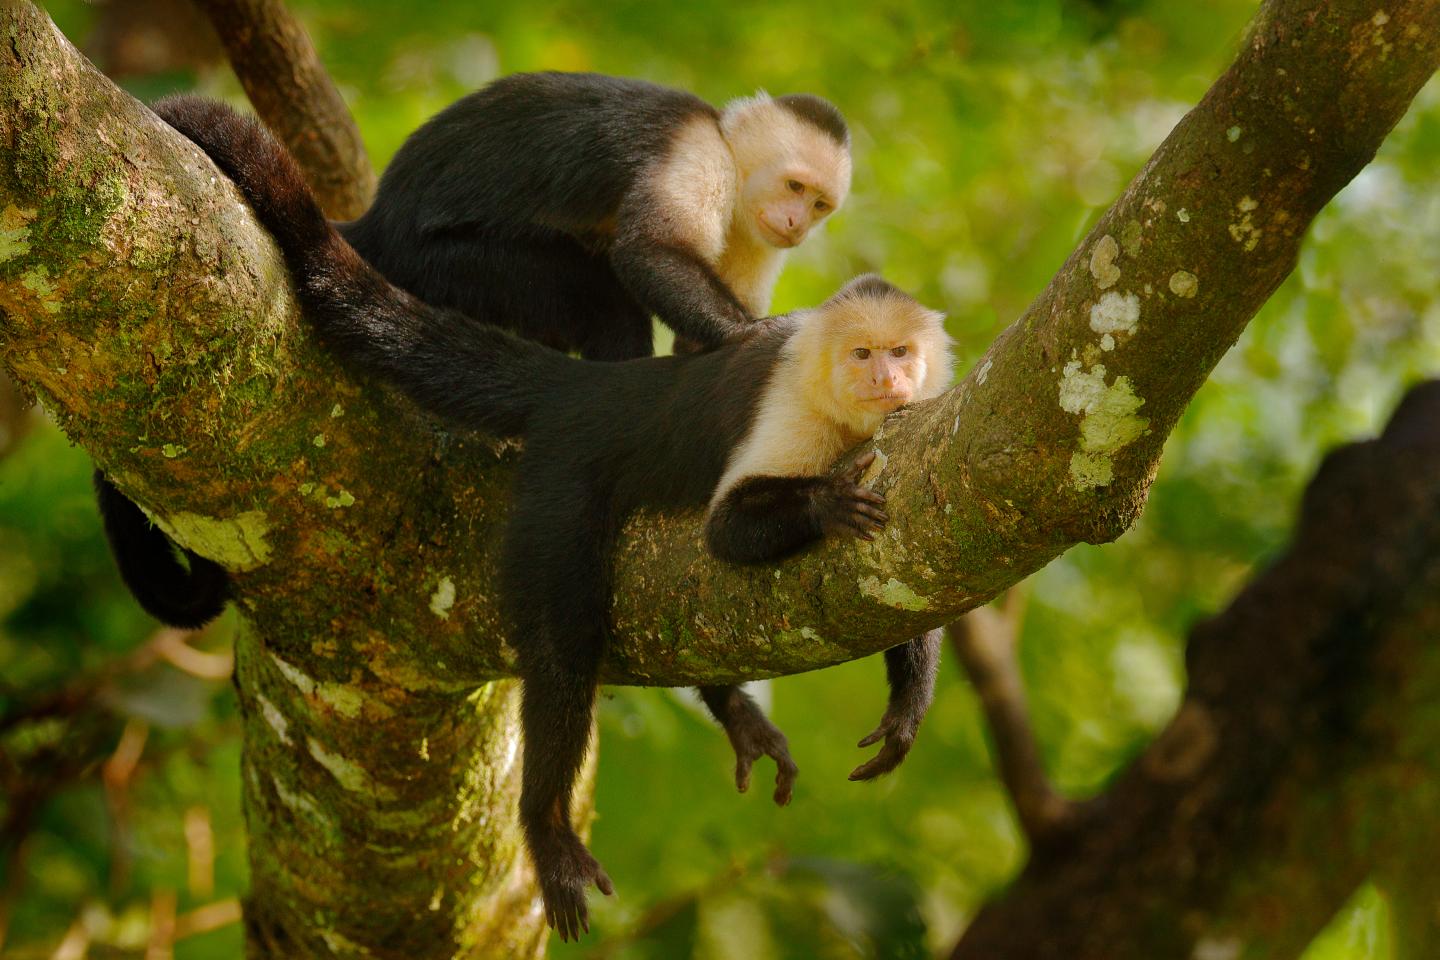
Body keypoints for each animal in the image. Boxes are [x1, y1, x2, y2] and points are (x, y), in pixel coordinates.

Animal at [96, 71, 851, 632]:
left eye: (818, 205)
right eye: (794, 186)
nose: (793, 222)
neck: (732, 159)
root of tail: (377, 220)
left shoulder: (753, 237)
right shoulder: (696, 154)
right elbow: (649, 255)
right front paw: (750, 338)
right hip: (447, 263)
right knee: (600, 297)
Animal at [150, 95, 951, 941]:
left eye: (901, 353)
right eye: (863, 354)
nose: (889, 378)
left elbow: (913, 573)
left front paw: (907, 705)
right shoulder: (720, 216)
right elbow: (658, 282)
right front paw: (785, 412)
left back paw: (726, 704)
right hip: (542, 439)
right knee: (565, 638)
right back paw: (547, 824)